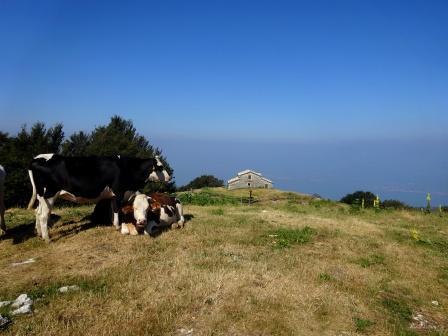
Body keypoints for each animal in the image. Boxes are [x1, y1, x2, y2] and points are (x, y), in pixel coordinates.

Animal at [27, 154, 170, 243]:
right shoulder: (118, 192)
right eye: (161, 167)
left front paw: (114, 224)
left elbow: (112, 210)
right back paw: (47, 239)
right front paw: (117, 226)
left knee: (37, 212)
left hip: (41, 197)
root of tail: (37, 158)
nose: (169, 177)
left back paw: (39, 234)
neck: (128, 168)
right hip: (49, 194)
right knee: (43, 216)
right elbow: (117, 210)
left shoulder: (113, 195)